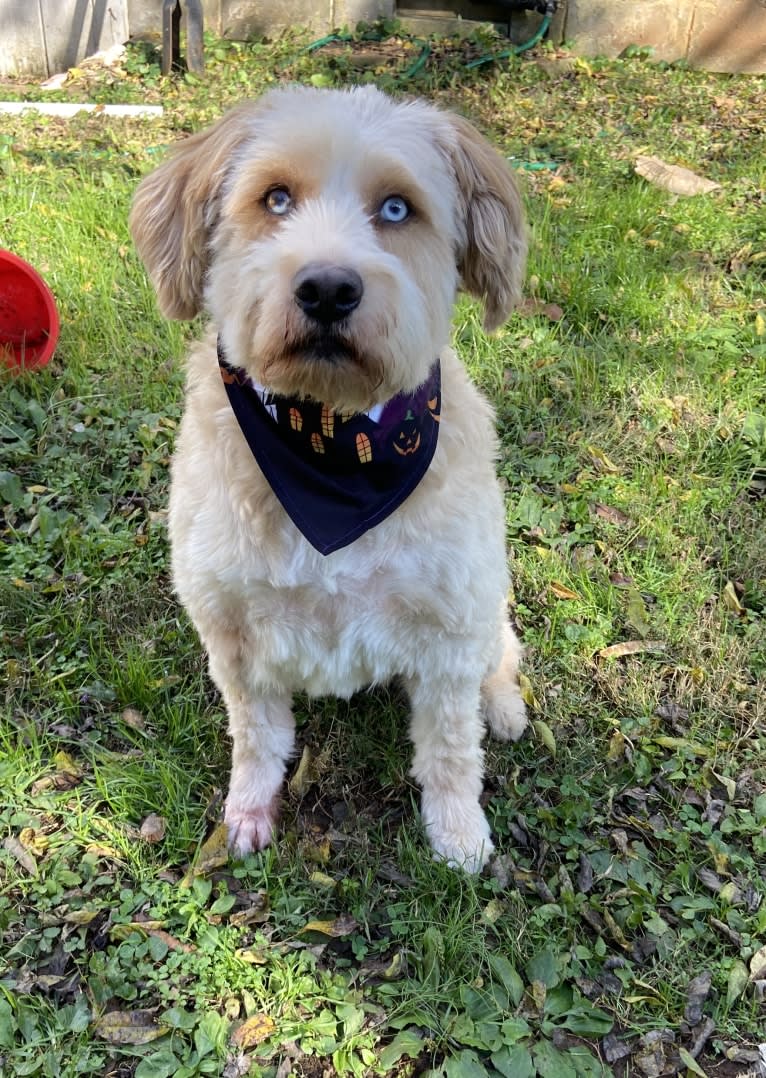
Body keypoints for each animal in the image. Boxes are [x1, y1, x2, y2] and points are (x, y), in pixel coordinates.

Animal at [130, 86, 527, 875]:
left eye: (397, 209)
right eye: (275, 198)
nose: (327, 288)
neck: (332, 449)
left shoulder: (449, 625)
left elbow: (450, 748)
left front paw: (459, 834)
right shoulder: (234, 631)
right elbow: (258, 737)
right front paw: (249, 811)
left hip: (484, 606)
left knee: (501, 651)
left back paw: (503, 704)